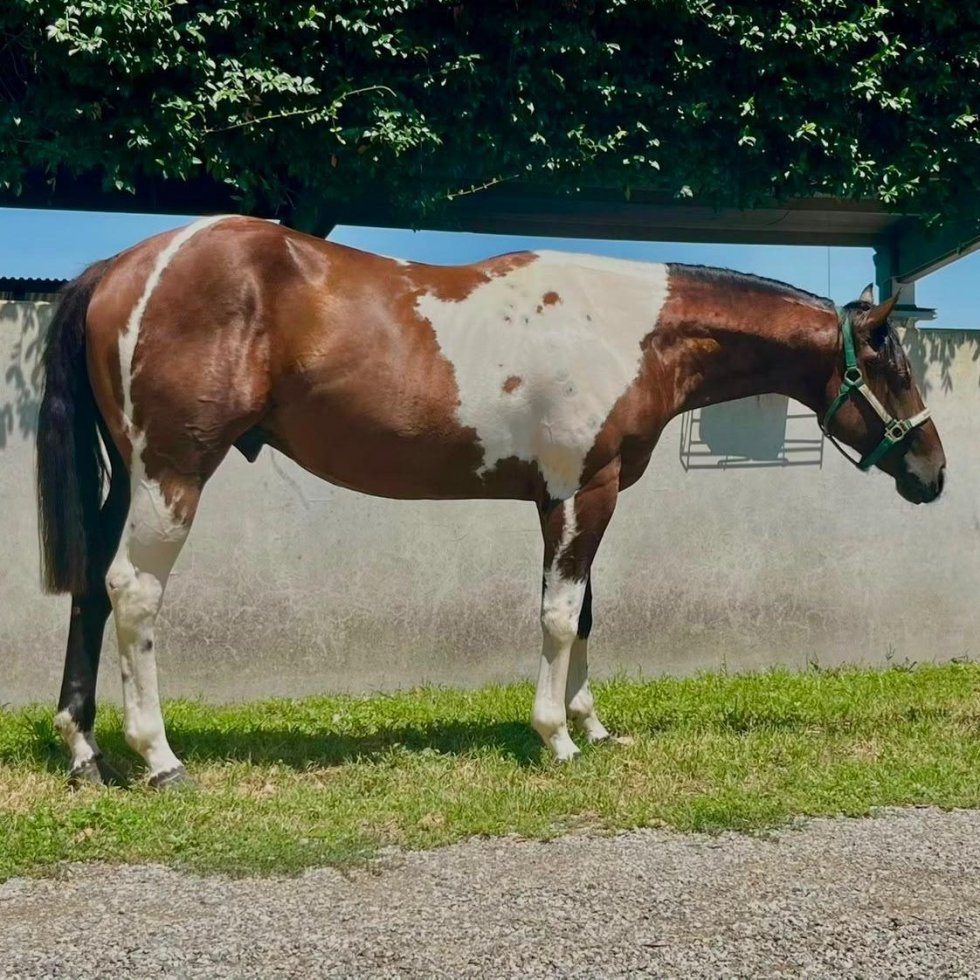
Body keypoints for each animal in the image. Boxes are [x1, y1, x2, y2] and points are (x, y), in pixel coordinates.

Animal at [35, 215, 946, 788]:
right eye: (895, 369)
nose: (933, 473)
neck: (631, 333)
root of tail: (125, 267)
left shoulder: (579, 497)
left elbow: (585, 614)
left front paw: (592, 725)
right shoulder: (580, 494)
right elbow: (558, 615)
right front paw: (556, 739)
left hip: (130, 475)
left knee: (89, 590)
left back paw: (86, 753)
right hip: (173, 472)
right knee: (132, 593)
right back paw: (157, 757)